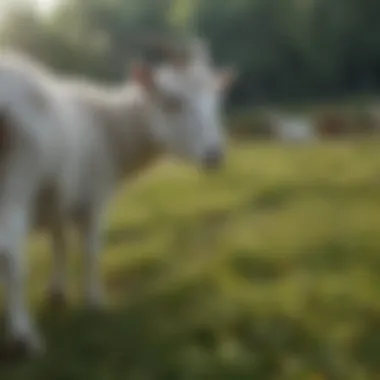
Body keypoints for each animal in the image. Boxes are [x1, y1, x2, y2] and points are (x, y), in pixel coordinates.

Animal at [0, 38, 238, 356]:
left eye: (216, 101)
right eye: (172, 102)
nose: (214, 156)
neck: (107, 126)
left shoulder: (58, 197)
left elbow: (59, 243)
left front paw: (57, 294)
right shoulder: (93, 195)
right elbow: (90, 249)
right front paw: (94, 303)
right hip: (18, 174)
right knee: (9, 249)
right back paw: (24, 337)